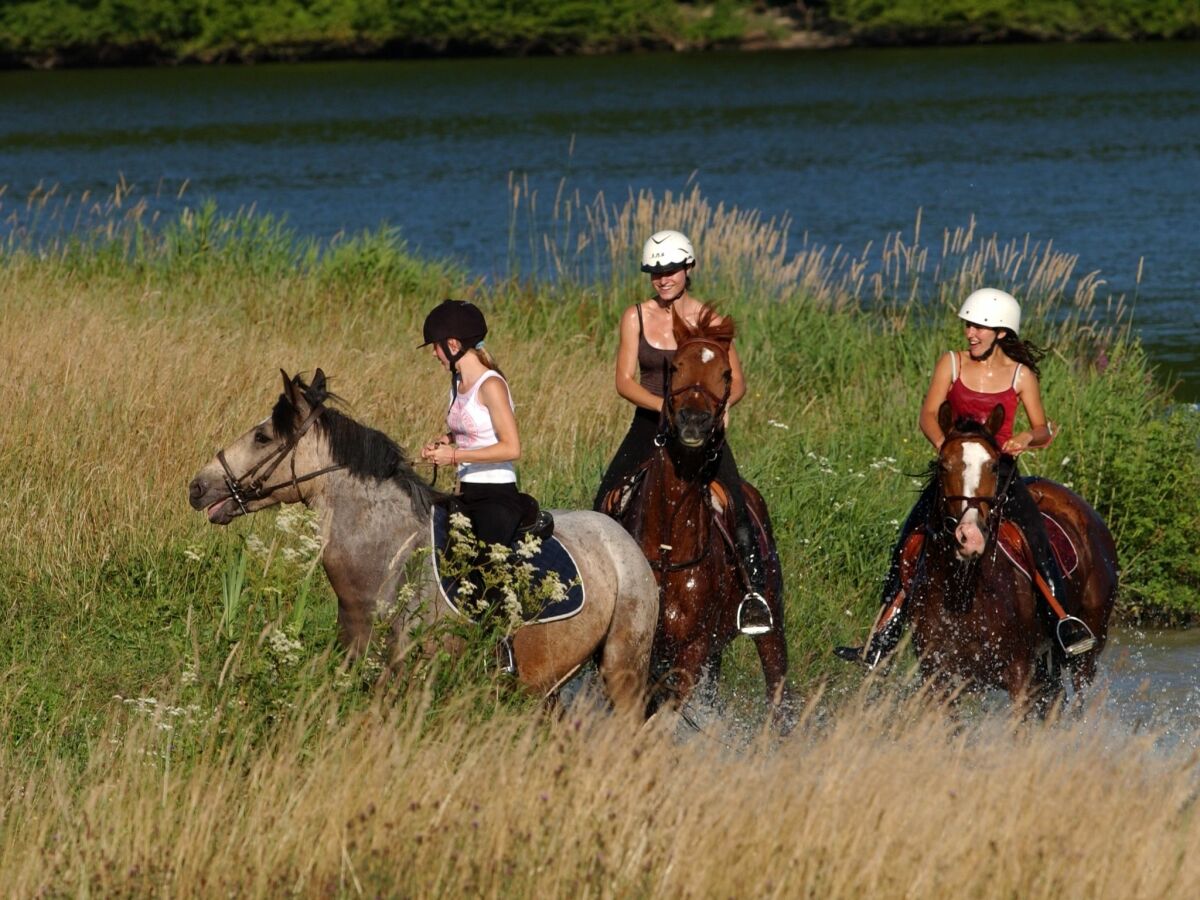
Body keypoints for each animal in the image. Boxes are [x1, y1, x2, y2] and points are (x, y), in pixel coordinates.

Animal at [912, 403, 1118, 710]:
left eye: (994, 466)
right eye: (942, 465)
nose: (970, 537)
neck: (965, 590)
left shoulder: (1018, 672)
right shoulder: (938, 674)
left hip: (1088, 648)